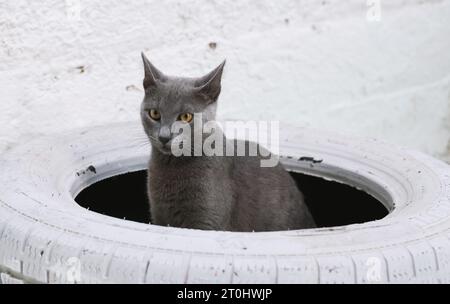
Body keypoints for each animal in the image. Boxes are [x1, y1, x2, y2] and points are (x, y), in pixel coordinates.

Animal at [139, 53, 314, 232]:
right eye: (154, 113)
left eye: (186, 117)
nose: (164, 136)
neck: (172, 166)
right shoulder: (159, 215)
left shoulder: (207, 221)